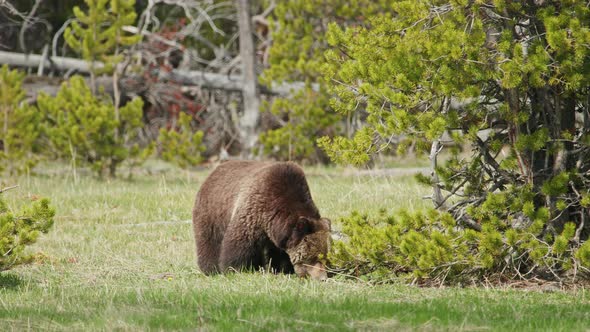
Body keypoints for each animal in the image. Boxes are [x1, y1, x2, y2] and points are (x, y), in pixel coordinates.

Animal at [194, 161, 332, 280]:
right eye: (314, 257)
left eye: (325, 257)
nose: (323, 278)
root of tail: (213, 172)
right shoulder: (253, 211)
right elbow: (238, 245)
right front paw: (235, 269)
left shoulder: (277, 233)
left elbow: (279, 254)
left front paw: (281, 270)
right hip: (213, 214)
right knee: (210, 241)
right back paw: (210, 269)